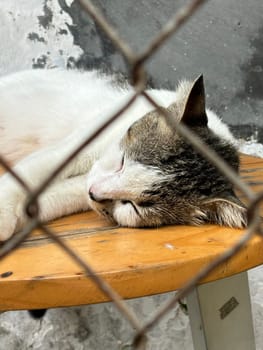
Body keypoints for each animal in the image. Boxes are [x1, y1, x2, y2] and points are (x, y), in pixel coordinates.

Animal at [0, 68, 249, 241]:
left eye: (133, 206)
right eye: (121, 162)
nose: (94, 194)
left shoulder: (84, 187)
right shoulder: (86, 142)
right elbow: (34, 169)